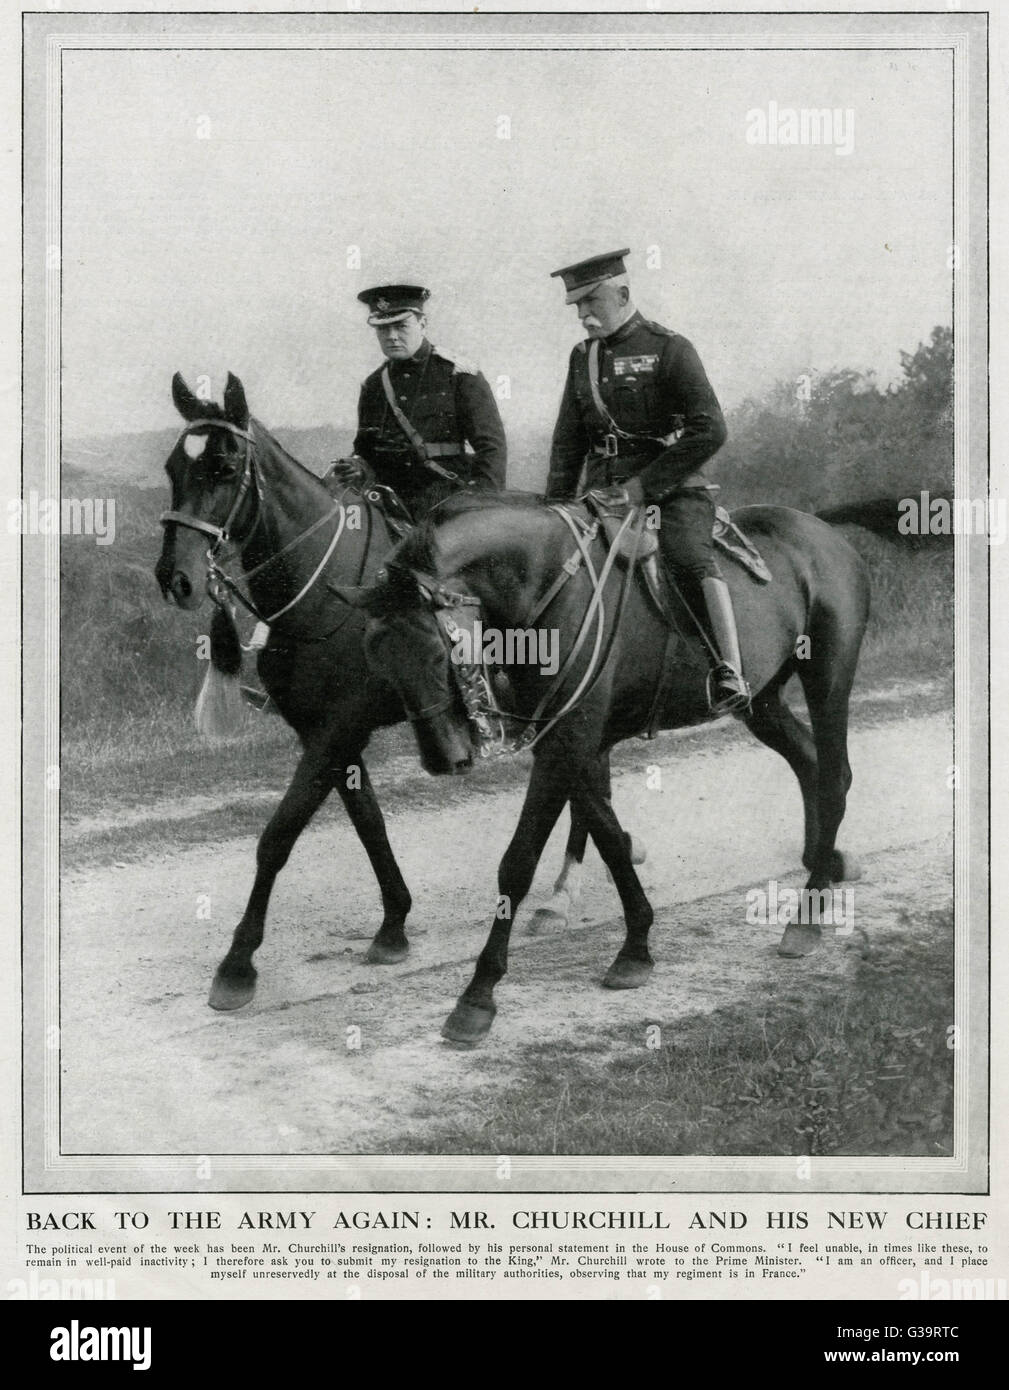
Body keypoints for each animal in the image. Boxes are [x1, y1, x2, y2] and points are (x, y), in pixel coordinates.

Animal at [154, 372, 597, 1011]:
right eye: (173, 465)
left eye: (225, 465)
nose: (176, 579)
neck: (325, 586)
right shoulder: (326, 732)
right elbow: (369, 823)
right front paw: (394, 926)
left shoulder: (338, 729)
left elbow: (278, 836)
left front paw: (237, 965)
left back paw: (563, 894)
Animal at [355, 489, 867, 1045]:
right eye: (378, 655)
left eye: (436, 652)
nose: (444, 760)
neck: (547, 583)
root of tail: (826, 534)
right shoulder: (570, 744)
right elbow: (610, 837)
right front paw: (636, 947)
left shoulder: (568, 741)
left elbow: (519, 862)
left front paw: (477, 995)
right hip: (765, 701)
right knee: (810, 764)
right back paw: (825, 866)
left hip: (827, 678)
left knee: (835, 777)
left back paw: (807, 917)